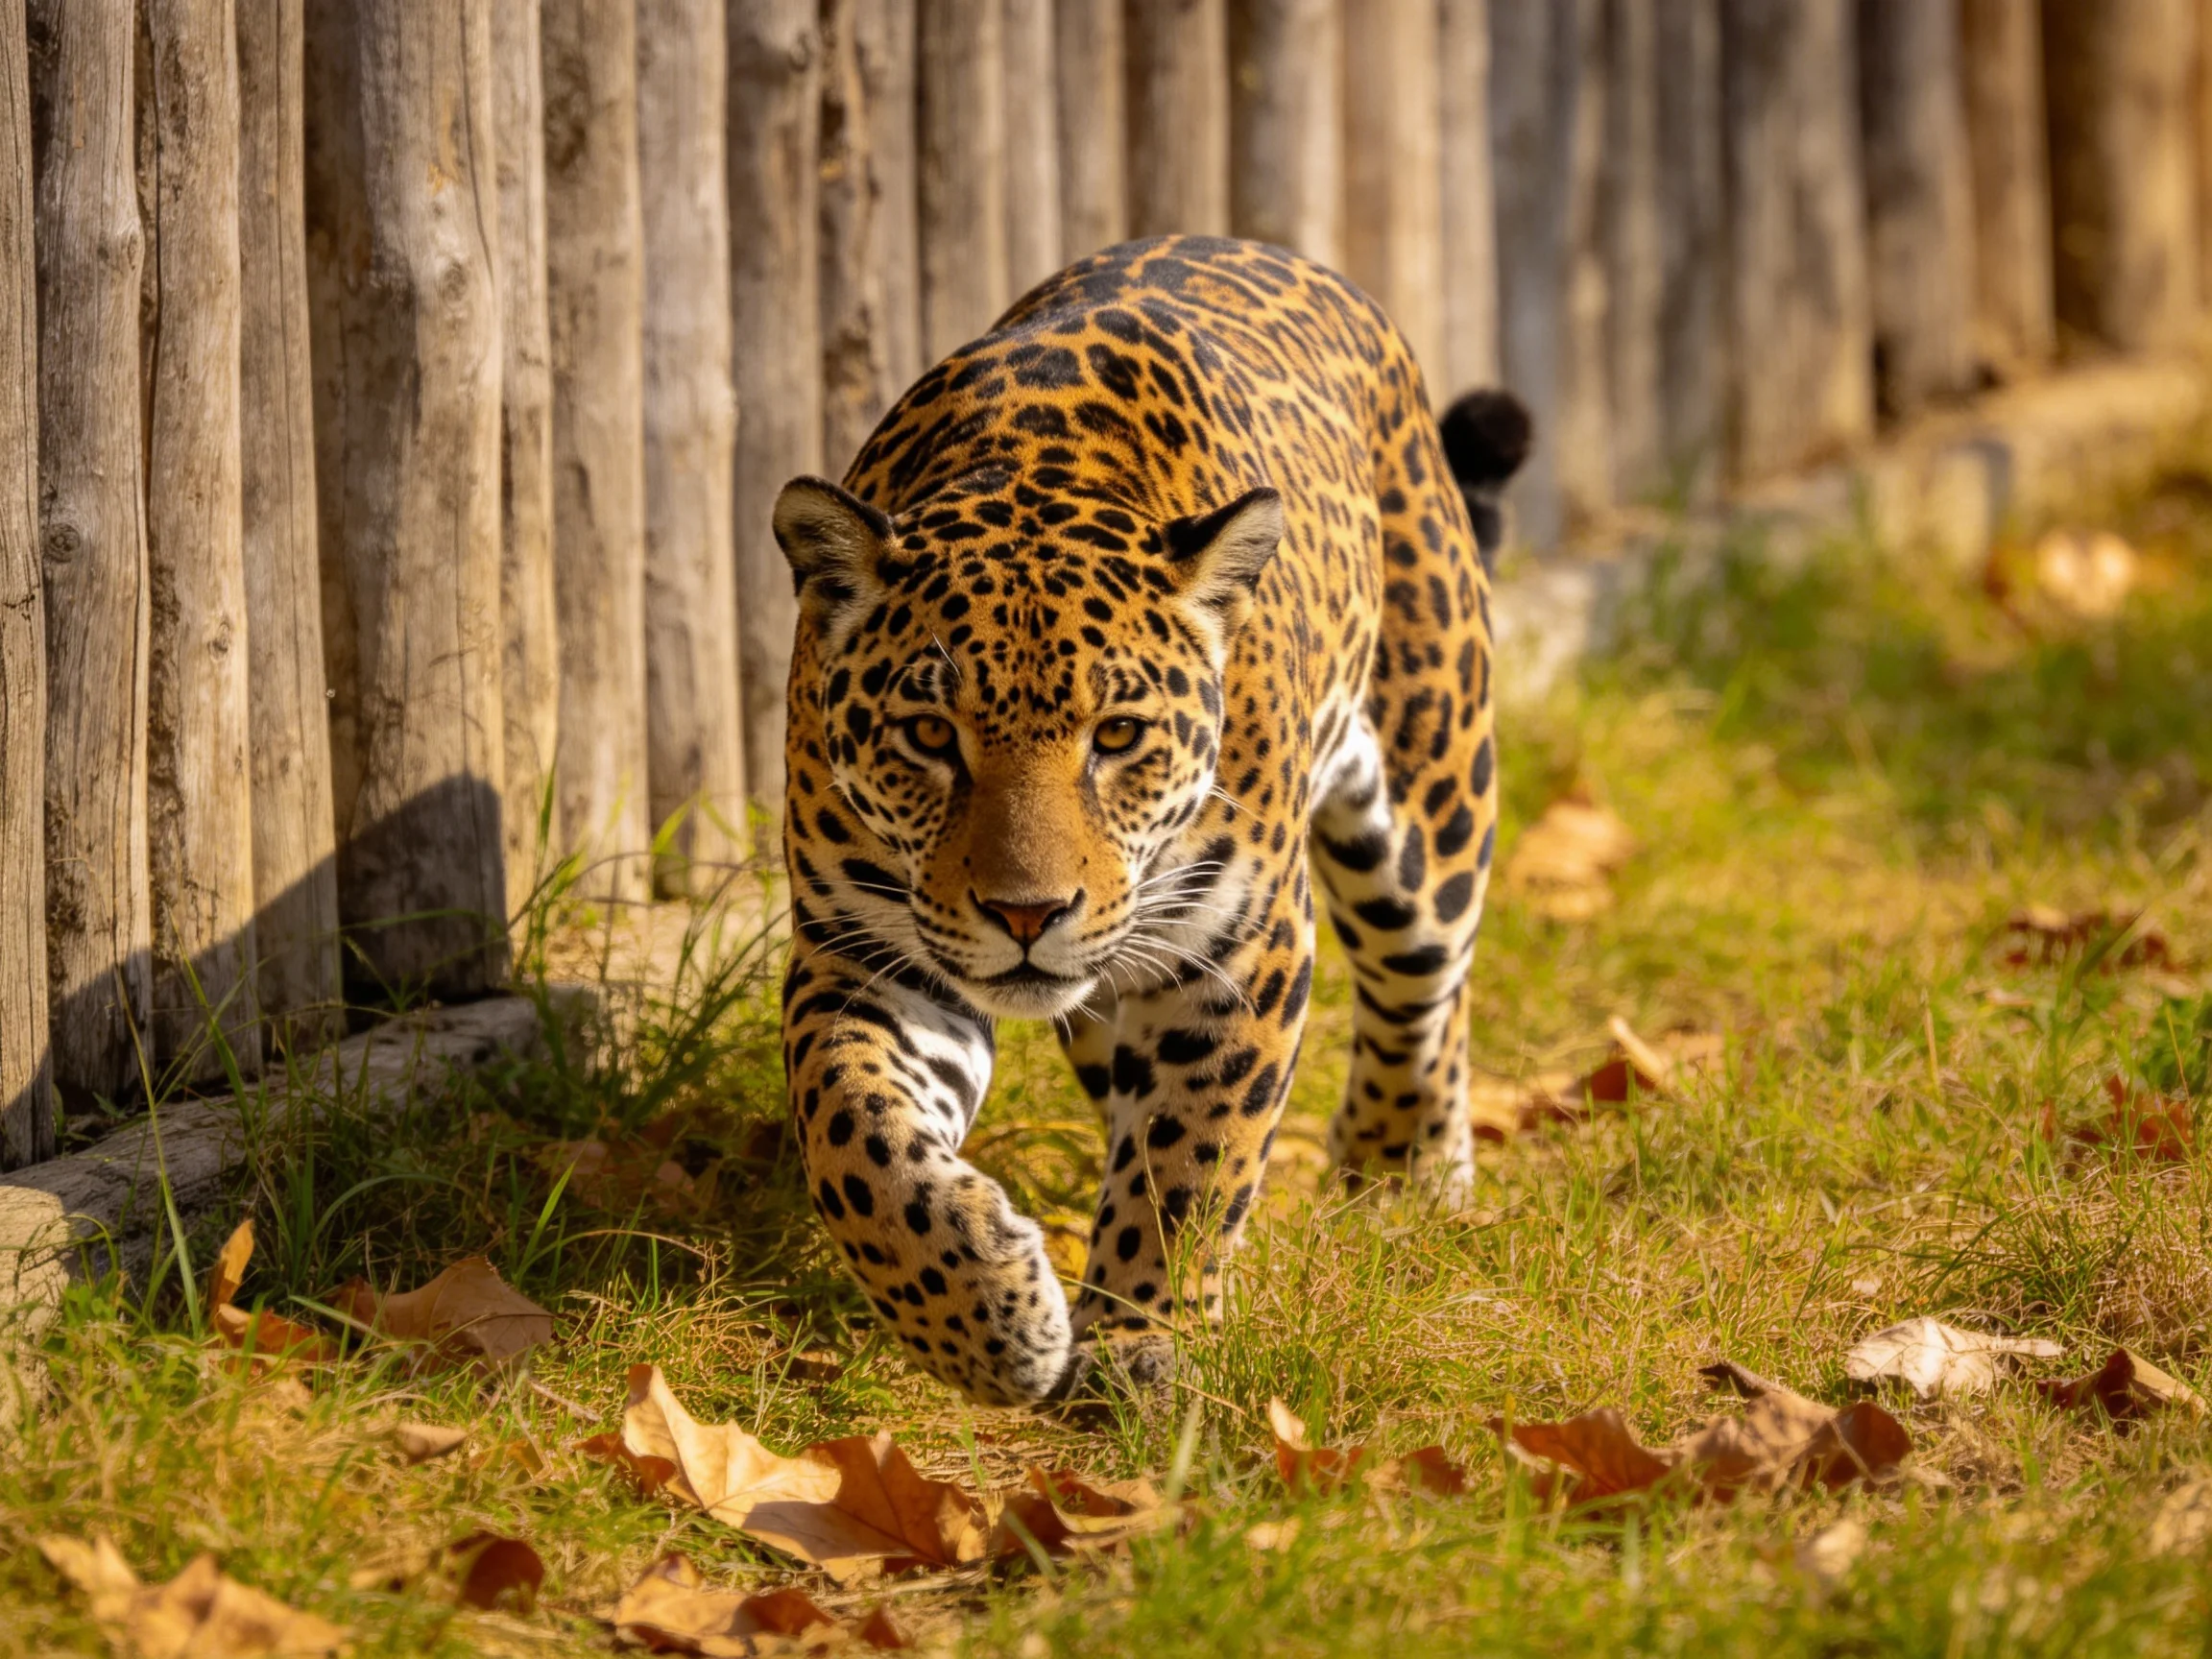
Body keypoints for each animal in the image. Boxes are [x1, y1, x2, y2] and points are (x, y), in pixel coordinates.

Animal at [771, 236, 1529, 1405]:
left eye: (1119, 735)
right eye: (930, 734)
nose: (1026, 914)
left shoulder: (1239, 946)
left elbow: (1192, 1154)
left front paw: (1139, 1335)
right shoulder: (864, 949)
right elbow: (853, 1129)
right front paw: (983, 1320)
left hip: (1428, 806)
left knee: (1424, 993)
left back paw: (1399, 1177)